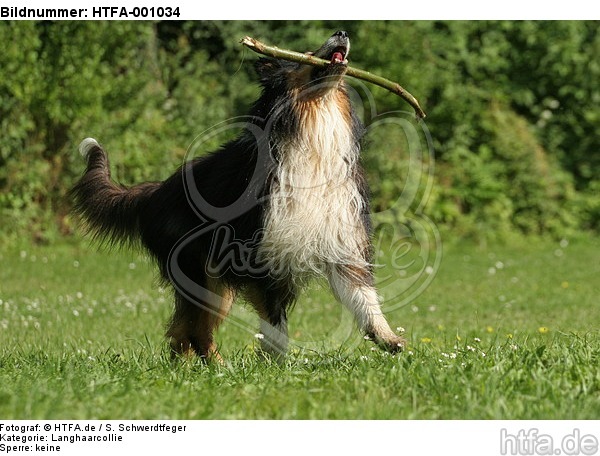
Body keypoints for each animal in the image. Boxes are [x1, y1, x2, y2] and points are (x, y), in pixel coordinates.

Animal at [72, 30, 406, 362]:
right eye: (306, 54)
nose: (341, 32)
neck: (313, 128)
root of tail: (155, 191)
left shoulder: (342, 240)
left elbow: (364, 299)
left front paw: (390, 340)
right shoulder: (262, 253)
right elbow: (274, 322)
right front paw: (275, 362)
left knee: (185, 331)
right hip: (200, 272)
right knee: (192, 328)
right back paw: (216, 366)